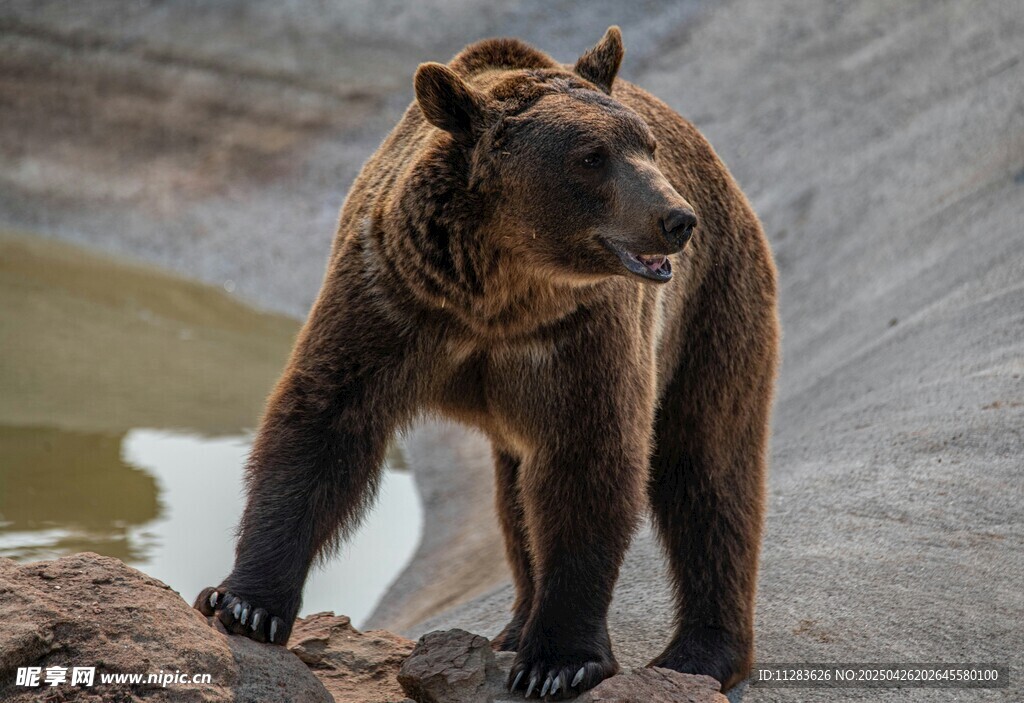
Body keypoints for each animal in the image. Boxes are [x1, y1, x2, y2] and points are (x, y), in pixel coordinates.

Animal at [194, 26, 779, 698]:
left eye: (646, 146)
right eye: (591, 156)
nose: (676, 220)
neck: (500, 294)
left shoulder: (581, 335)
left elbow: (590, 460)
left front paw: (559, 662)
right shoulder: (393, 298)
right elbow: (323, 423)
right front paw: (246, 603)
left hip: (713, 305)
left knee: (707, 468)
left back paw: (699, 652)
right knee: (522, 494)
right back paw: (517, 625)